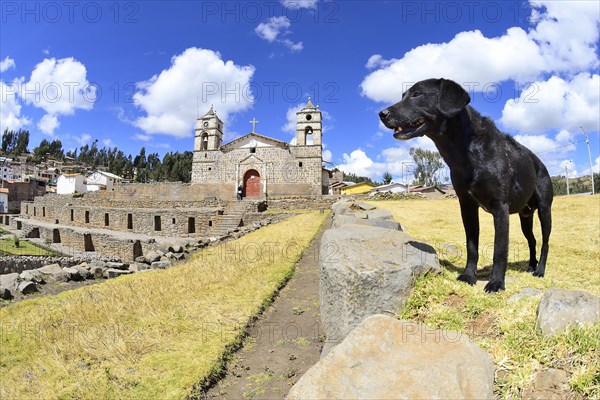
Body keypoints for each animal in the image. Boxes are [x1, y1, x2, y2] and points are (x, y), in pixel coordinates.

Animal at [380, 78, 552, 292]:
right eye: (403, 95)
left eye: (417, 94)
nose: (382, 114)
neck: (468, 153)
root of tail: (540, 163)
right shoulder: (467, 206)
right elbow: (472, 246)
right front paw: (469, 275)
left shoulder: (500, 207)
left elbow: (499, 249)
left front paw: (496, 283)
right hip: (525, 216)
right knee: (533, 240)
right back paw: (530, 266)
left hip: (544, 210)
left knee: (545, 243)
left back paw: (540, 270)